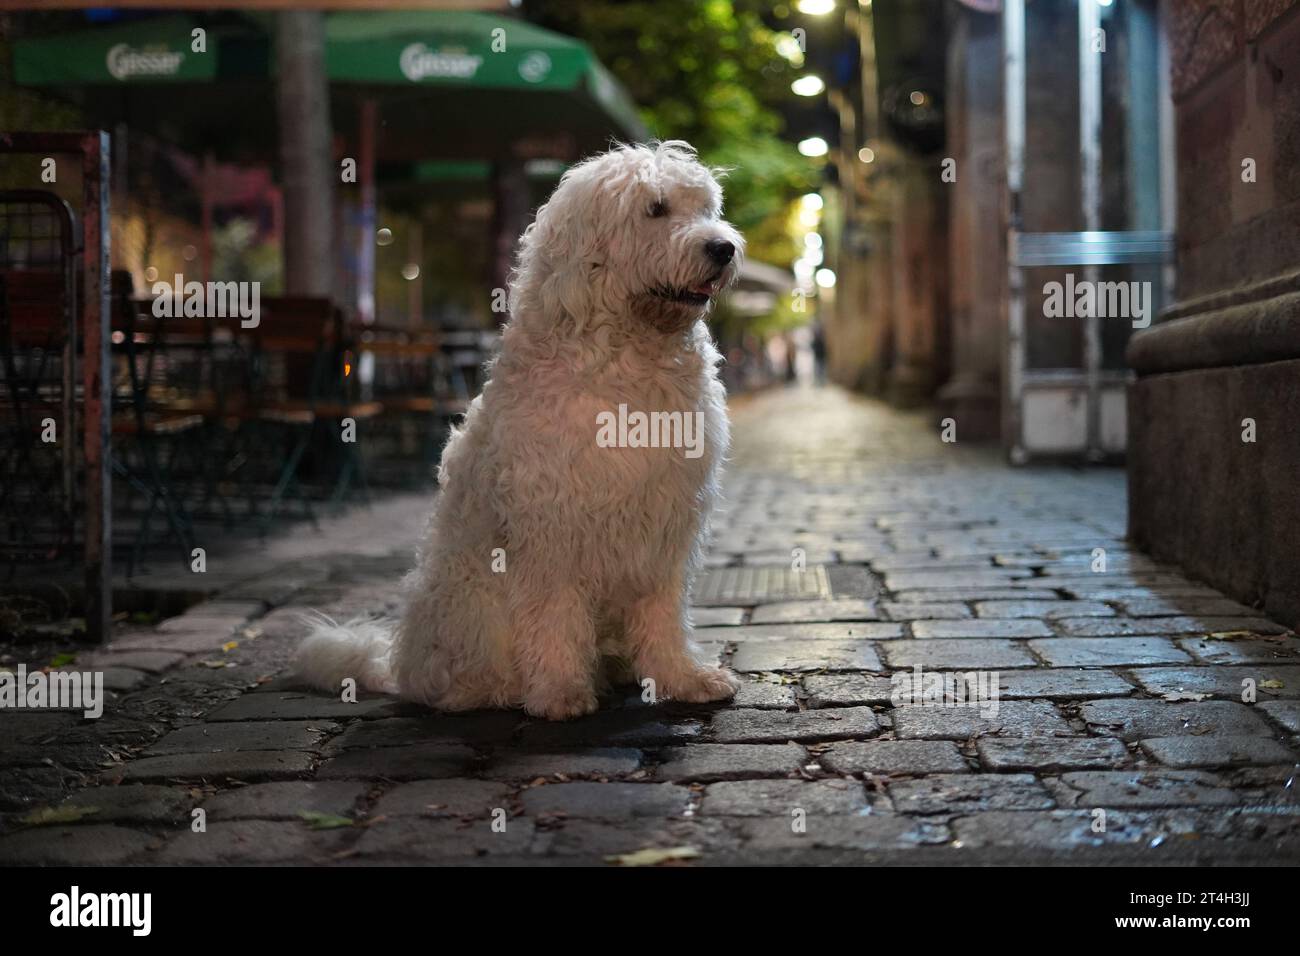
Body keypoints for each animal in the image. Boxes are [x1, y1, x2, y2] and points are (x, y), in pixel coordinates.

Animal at [295, 141, 743, 717]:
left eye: (706, 208)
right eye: (656, 209)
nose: (723, 247)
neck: (631, 355)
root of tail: (401, 666)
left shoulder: (665, 520)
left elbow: (663, 612)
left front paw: (682, 678)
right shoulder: (551, 524)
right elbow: (554, 613)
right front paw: (560, 691)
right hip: (471, 607)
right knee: (459, 679)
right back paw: (499, 688)